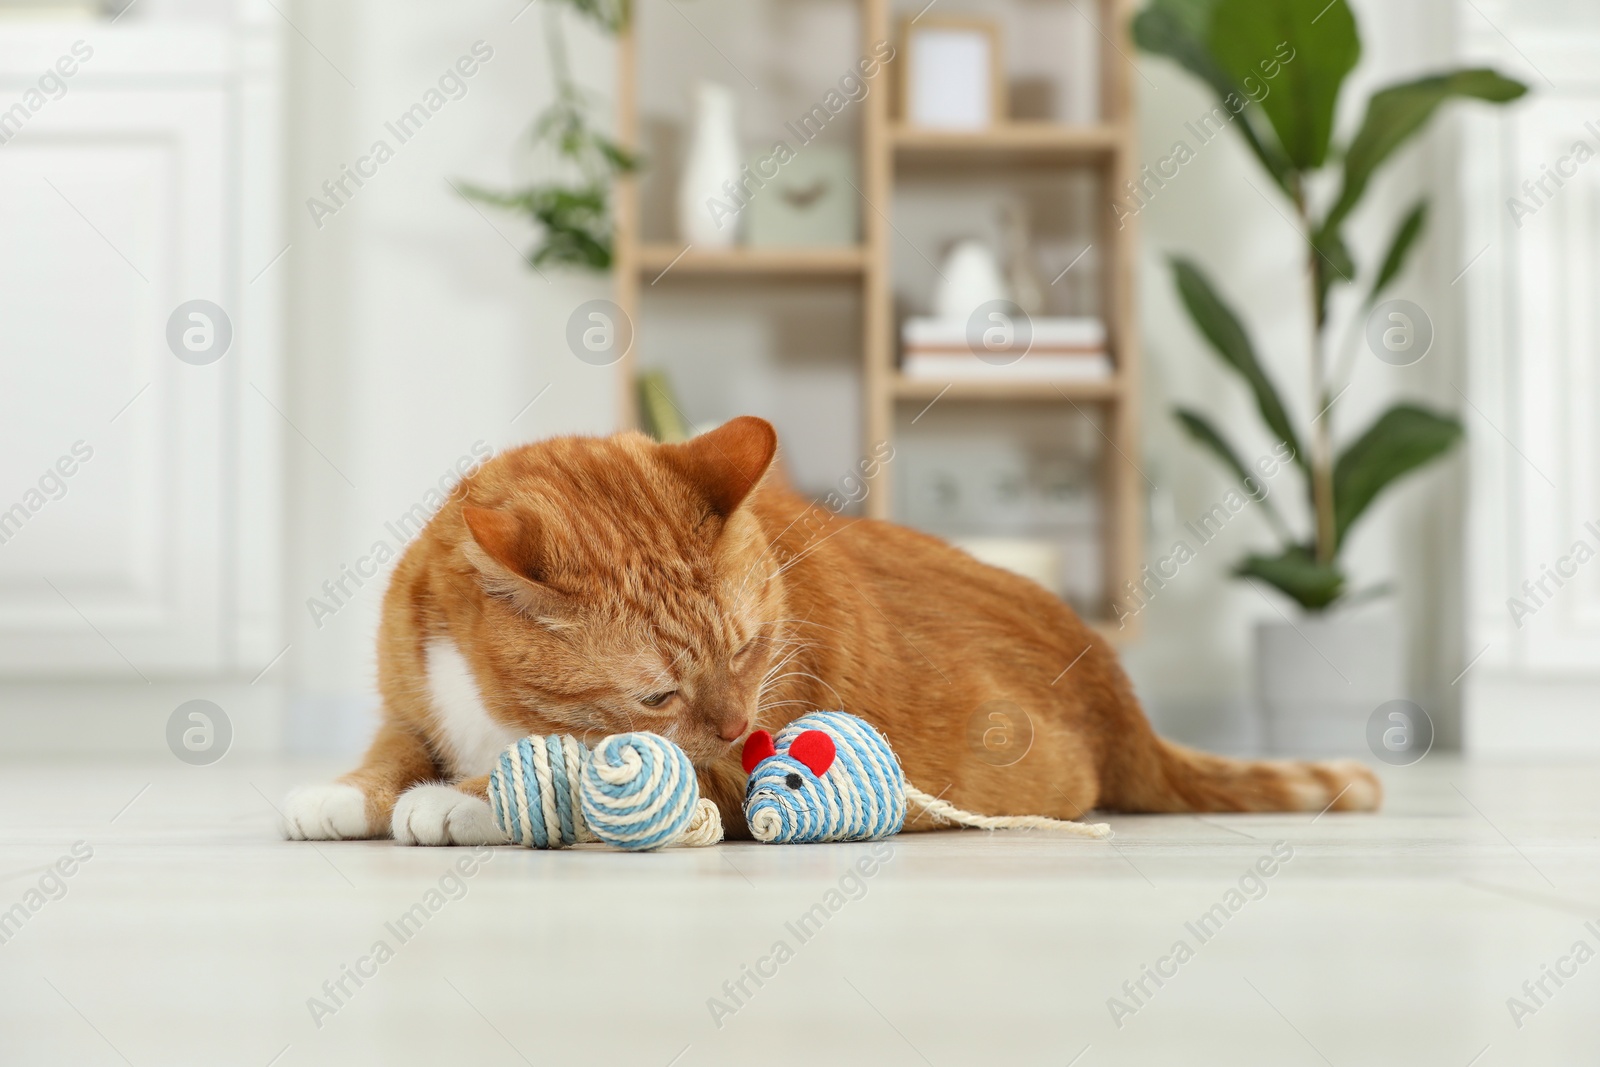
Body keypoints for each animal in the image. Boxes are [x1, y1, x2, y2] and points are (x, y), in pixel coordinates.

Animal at [284, 415, 1376, 844]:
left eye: (748, 652)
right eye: (657, 691)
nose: (738, 728)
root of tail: (1117, 685)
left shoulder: (725, 781)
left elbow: (559, 773)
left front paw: (456, 800)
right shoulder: (409, 698)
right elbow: (389, 748)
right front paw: (347, 793)